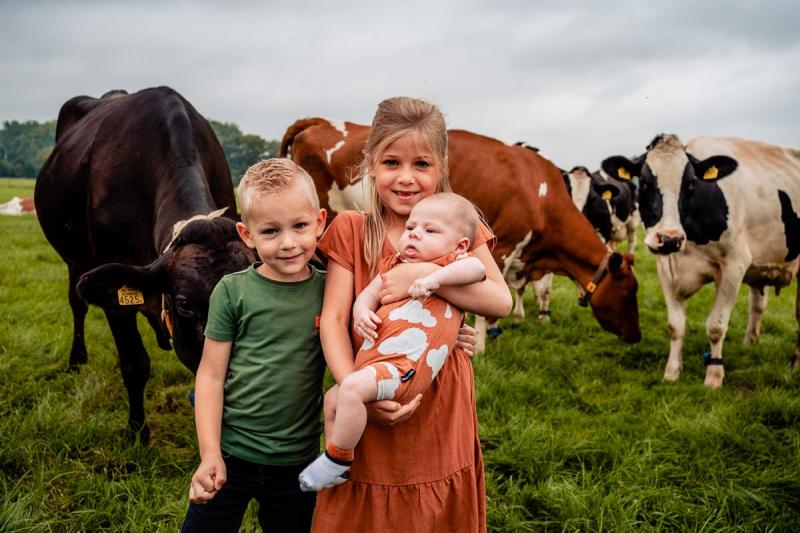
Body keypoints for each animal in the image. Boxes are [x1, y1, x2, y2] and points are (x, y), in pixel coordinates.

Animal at [36, 85, 255, 438]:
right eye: (184, 304)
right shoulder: (114, 292)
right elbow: (135, 364)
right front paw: (137, 432)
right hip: (76, 262)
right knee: (78, 304)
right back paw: (77, 360)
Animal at [604, 133, 800, 386]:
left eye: (690, 184)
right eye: (645, 183)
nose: (669, 239)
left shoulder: (734, 265)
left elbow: (716, 326)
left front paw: (714, 377)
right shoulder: (665, 266)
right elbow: (675, 325)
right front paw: (672, 372)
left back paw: (795, 362)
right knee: (757, 305)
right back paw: (749, 345)